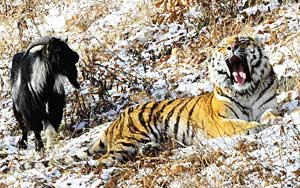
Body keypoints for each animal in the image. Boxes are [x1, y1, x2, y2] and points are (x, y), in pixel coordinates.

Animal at [88, 35, 278, 166]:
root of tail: (118, 118)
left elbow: (271, 113)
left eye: (243, 41)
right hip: (132, 137)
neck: (247, 91)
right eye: (224, 46)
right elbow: (238, 124)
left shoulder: (267, 105)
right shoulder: (219, 121)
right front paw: (255, 126)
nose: (232, 47)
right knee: (104, 159)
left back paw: (150, 148)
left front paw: (271, 119)